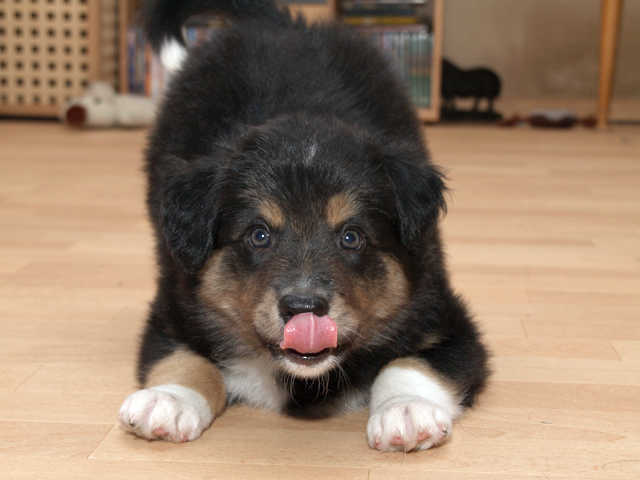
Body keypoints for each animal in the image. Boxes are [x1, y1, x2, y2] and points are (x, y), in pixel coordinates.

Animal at [118, 0, 489, 452]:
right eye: (259, 235)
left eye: (351, 237)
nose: (303, 309)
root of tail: (279, 22)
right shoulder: (172, 309)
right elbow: (184, 358)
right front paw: (167, 402)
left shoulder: (448, 322)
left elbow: (411, 363)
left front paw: (405, 411)